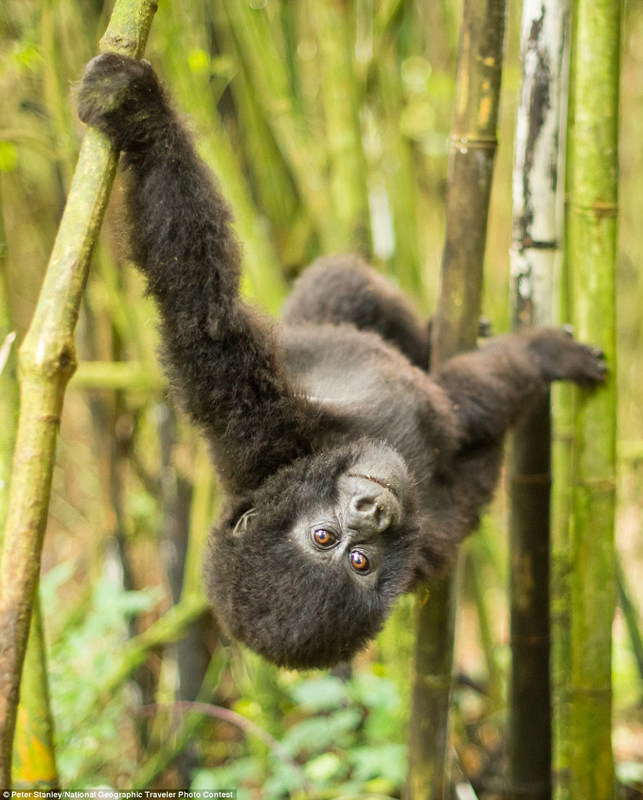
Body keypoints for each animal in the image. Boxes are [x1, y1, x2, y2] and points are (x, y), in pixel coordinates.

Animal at [76, 53, 608, 672]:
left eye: (336, 544)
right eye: (350, 555)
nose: (371, 512)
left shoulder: (255, 431)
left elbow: (199, 306)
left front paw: (137, 111)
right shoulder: (432, 536)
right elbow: (475, 400)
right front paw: (548, 353)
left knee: (344, 285)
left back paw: (432, 329)